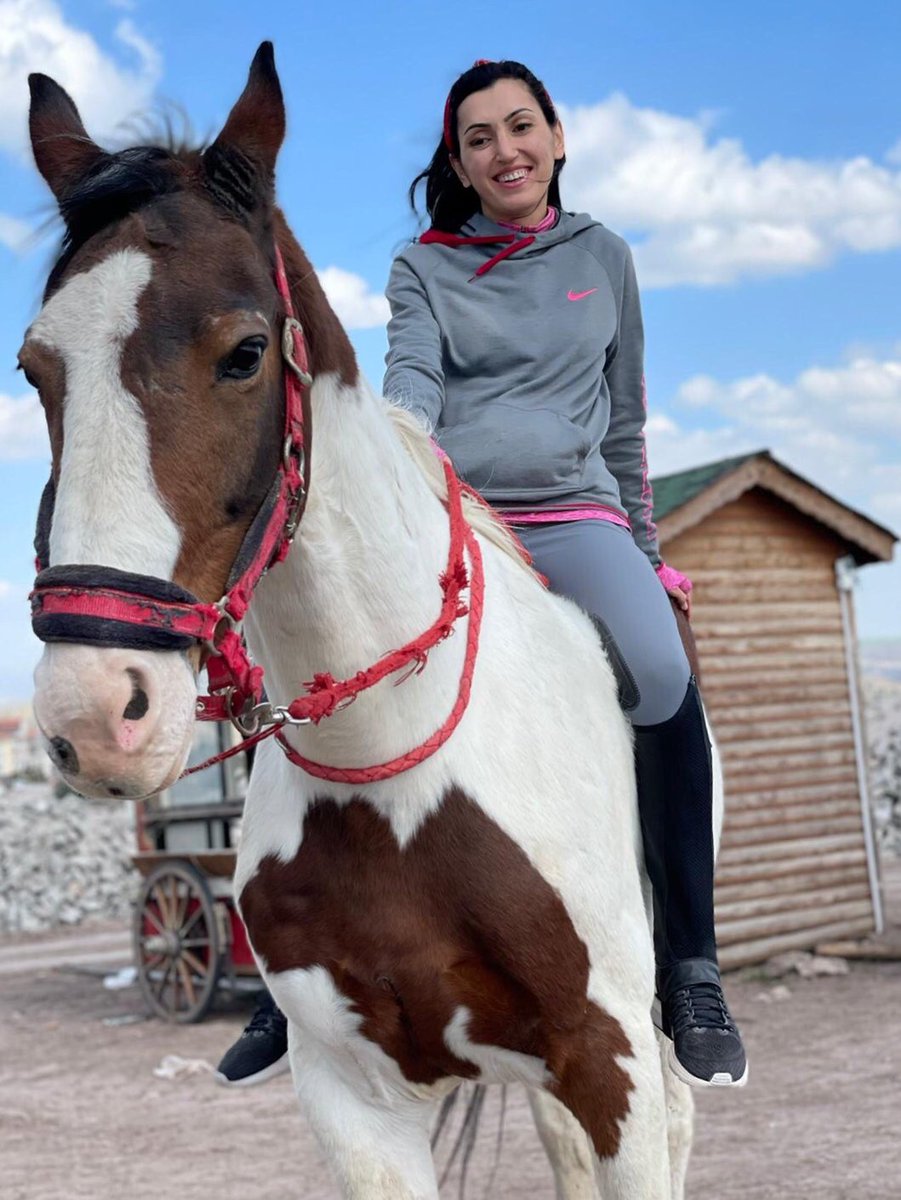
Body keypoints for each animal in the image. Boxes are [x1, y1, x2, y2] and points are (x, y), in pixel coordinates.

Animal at [24, 43, 699, 1199]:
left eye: (245, 352)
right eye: (35, 370)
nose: (97, 715)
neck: (391, 763)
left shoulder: (608, 1064)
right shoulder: (350, 1095)